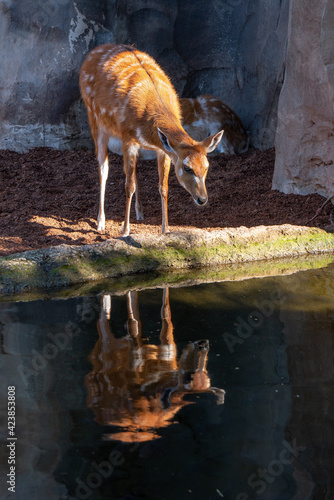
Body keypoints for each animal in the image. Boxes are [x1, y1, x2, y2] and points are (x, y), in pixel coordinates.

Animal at [79, 43, 223, 236]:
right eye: (187, 167)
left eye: (207, 166)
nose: (202, 198)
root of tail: (91, 54)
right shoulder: (128, 137)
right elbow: (128, 185)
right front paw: (125, 231)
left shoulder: (164, 149)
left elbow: (163, 187)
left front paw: (165, 229)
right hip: (95, 119)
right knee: (104, 168)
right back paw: (100, 222)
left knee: (132, 170)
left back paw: (140, 213)